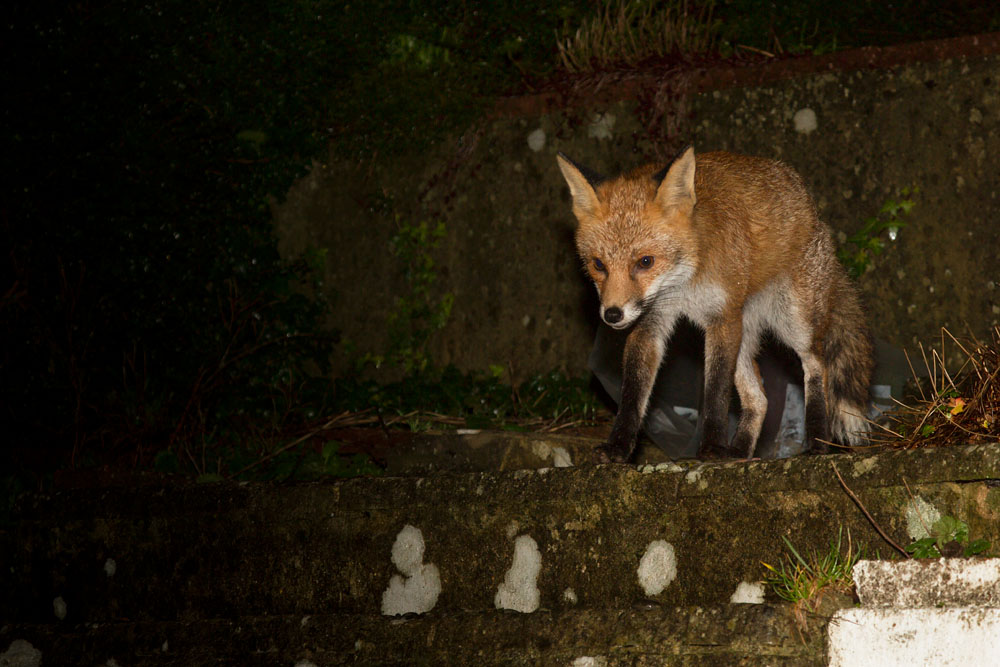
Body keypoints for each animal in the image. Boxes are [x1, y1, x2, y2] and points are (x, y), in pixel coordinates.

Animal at [556, 146, 873, 462]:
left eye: (645, 262)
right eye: (598, 265)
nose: (612, 315)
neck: (684, 283)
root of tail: (814, 211)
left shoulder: (722, 317)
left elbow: (716, 391)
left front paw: (710, 447)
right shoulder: (650, 321)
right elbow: (632, 394)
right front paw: (618, 447)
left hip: (793, 321)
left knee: (818, 365)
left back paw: (818, 442)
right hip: (745, 335)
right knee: (759, 399)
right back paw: (739, 452)